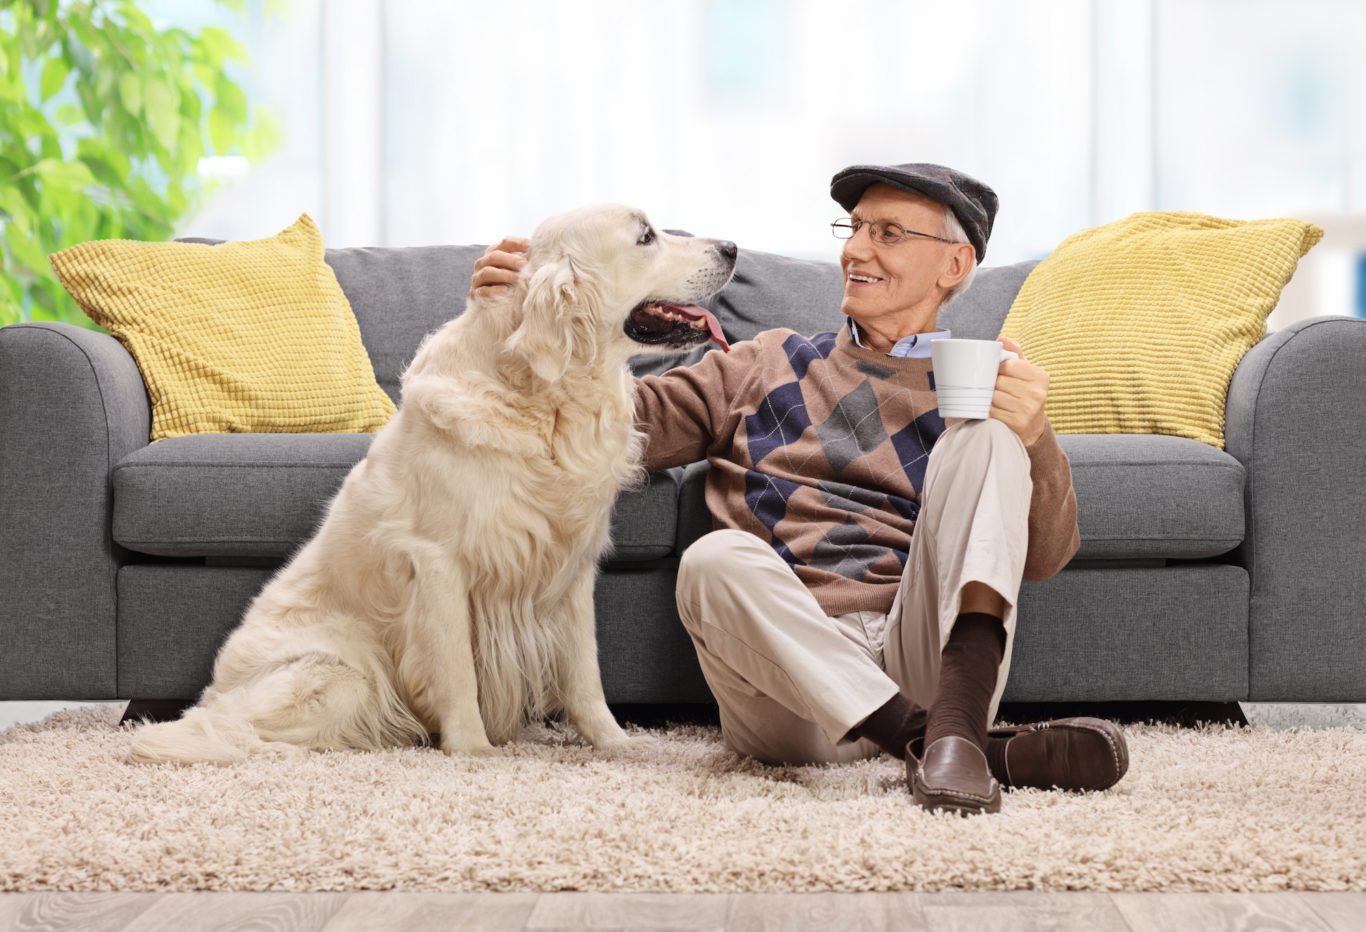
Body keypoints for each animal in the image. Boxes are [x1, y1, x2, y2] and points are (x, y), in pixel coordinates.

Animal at [130, 204, 737, 759]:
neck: (541, 399)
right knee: (232, 729)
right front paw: (473, 750)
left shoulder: (569, 563)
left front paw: (616, 744)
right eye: (646, 236)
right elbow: (457, 668)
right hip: (341, 675)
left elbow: (584, 672)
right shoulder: (440, 562)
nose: (732, 247)